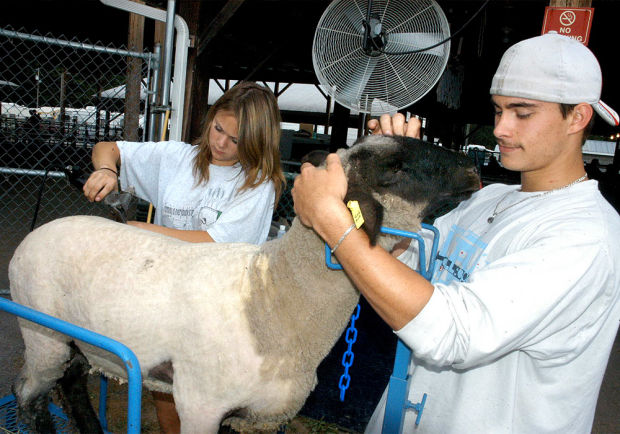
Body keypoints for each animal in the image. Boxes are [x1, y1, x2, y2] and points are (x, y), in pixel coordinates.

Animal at [8, 134, 480, 432]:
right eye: (394, 168)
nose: (473, 169)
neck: (272, 298)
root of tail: (39, 231)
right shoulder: (199, 406)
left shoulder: (245, 415)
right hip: (43, 333)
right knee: (29, 395)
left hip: (80, 341)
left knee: (70, 385)